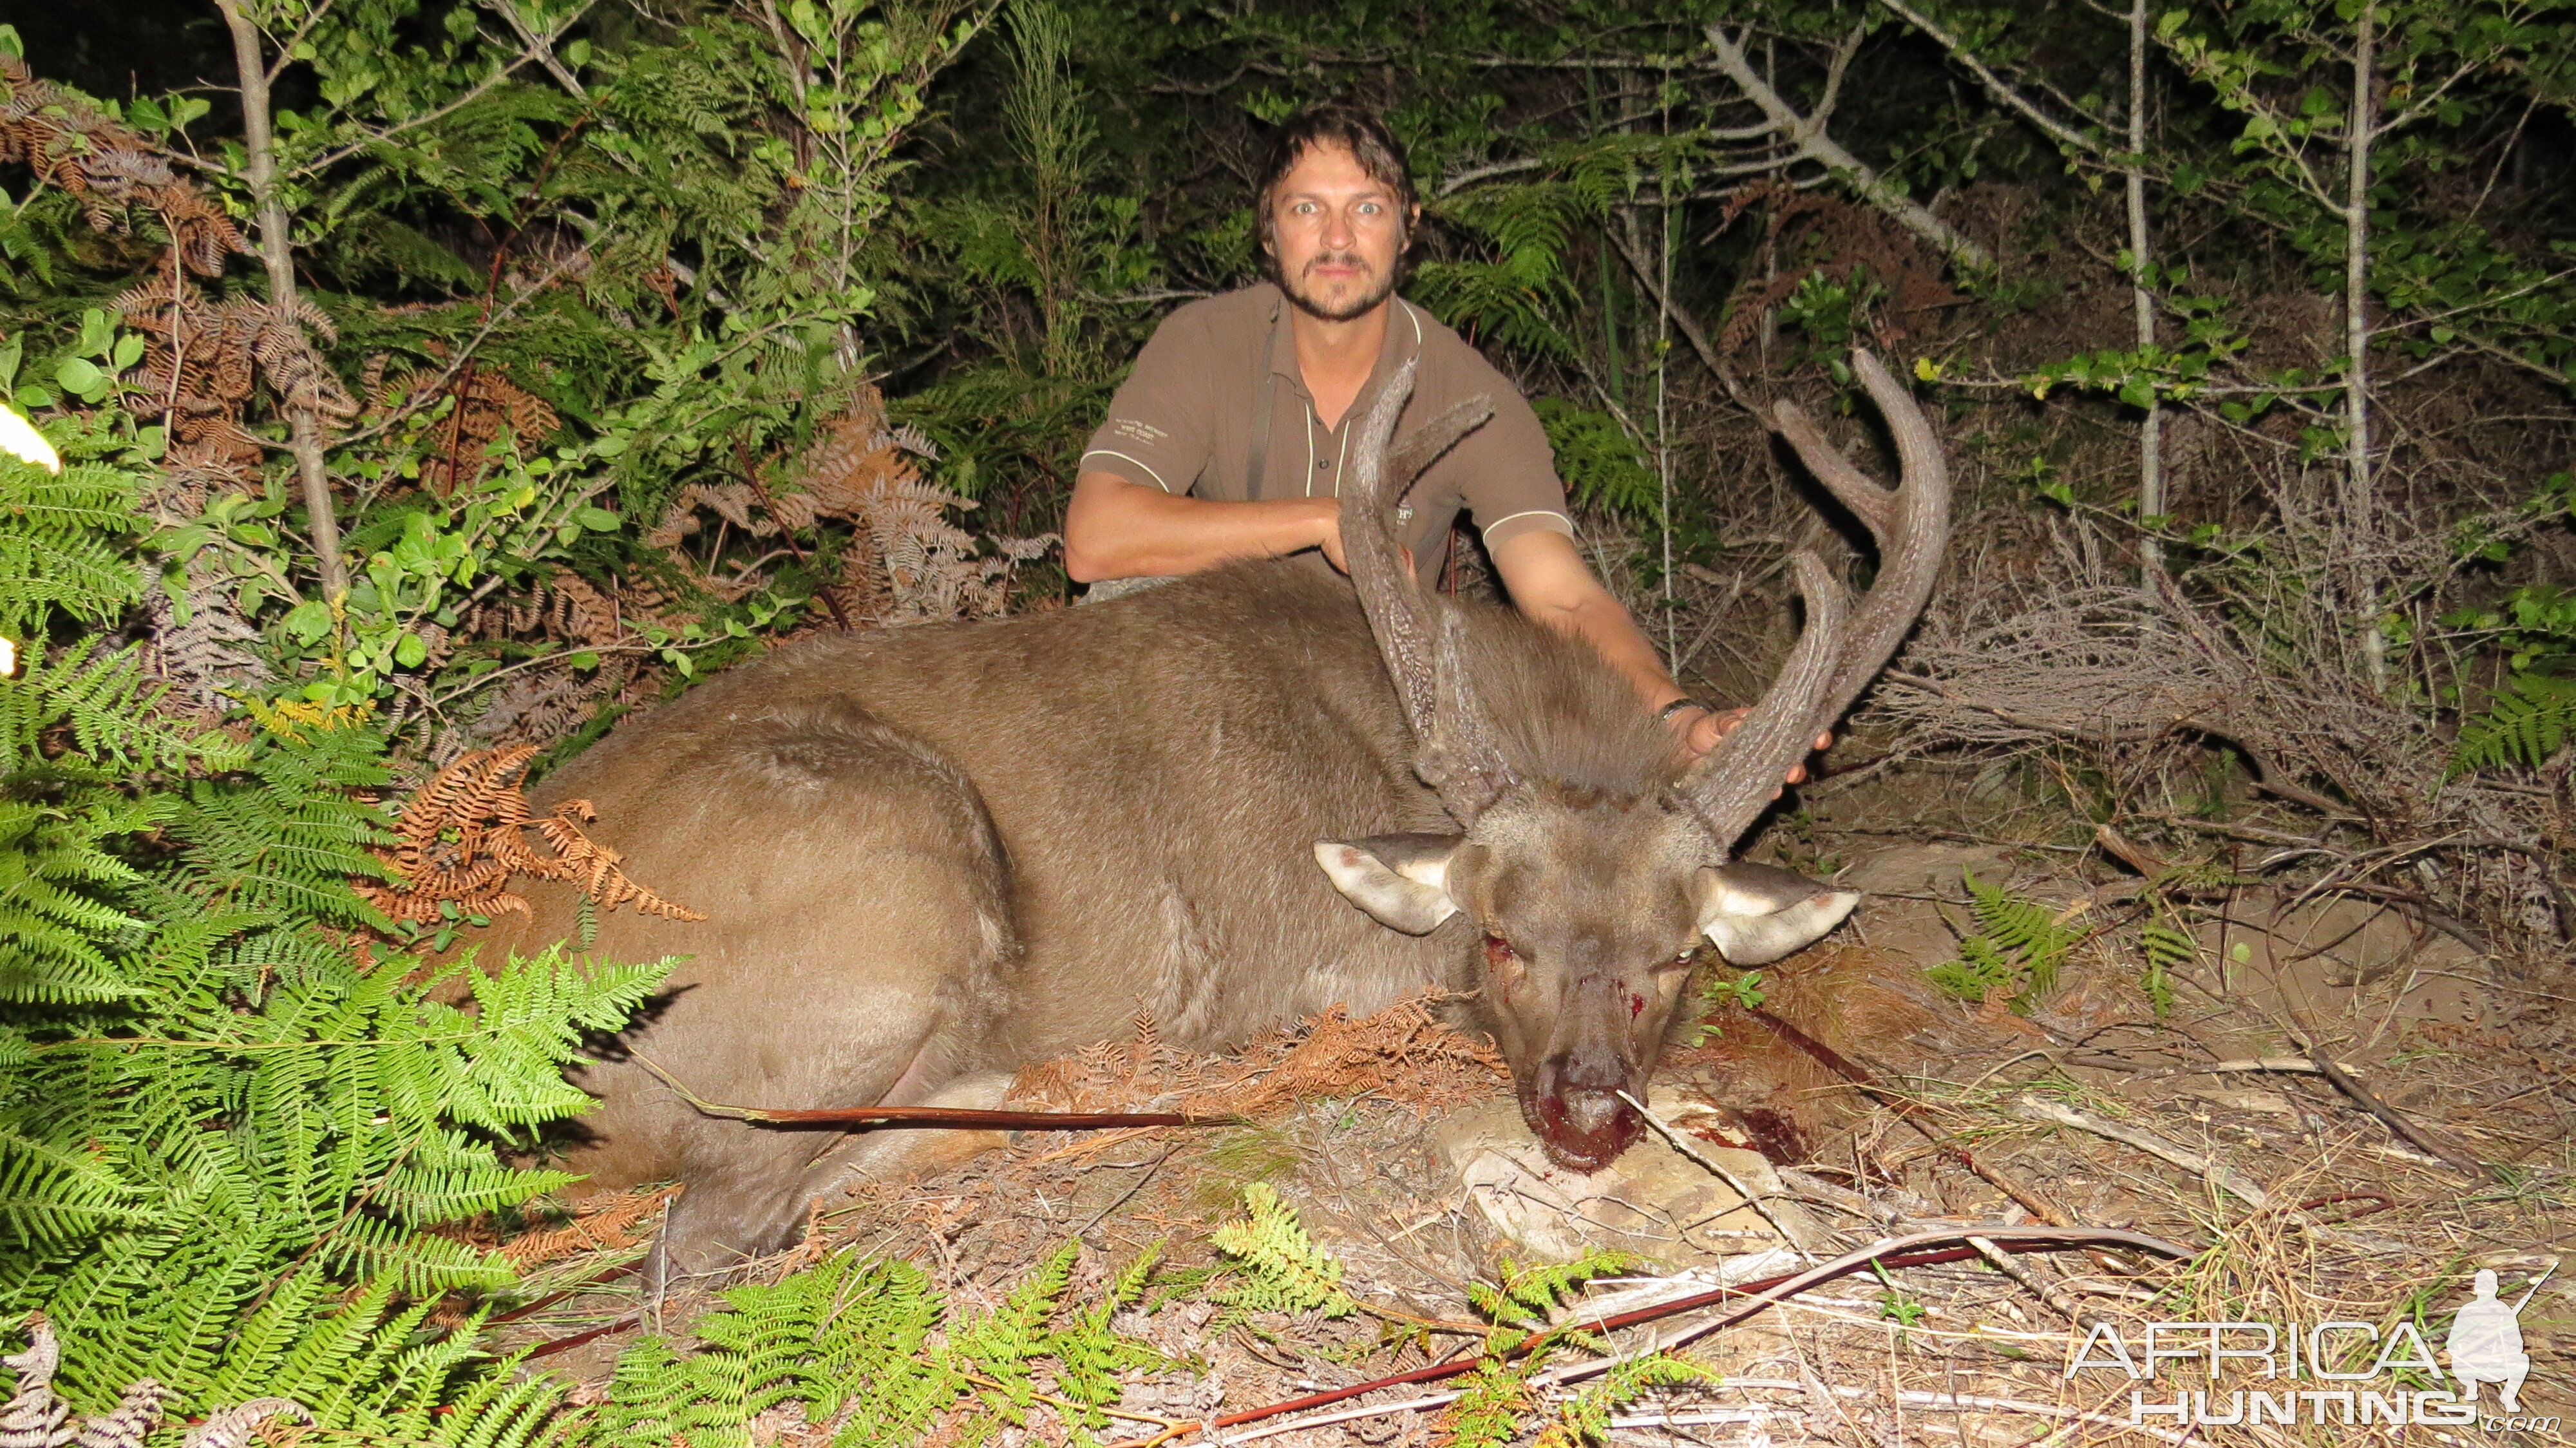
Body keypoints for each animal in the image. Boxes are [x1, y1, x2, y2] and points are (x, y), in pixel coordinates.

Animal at [484, 350, 1937, 1273]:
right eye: (1499, 940)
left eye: (1675, 958)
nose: (1587, 1116)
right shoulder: (1332, 974)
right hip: (891, 879)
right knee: (720, 1220)